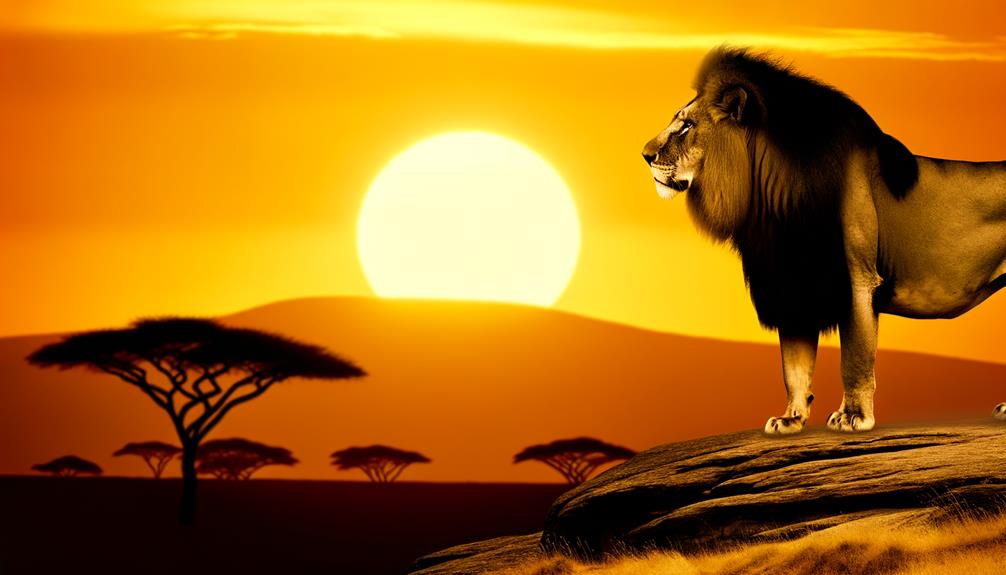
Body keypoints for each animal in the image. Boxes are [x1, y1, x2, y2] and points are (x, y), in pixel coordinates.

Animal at [642, 47, 1006, 435]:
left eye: (686, 126)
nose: (645, 154)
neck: (772, 198)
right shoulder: (790, 284)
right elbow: (794, 366)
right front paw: (791, 419)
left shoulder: (856, 279)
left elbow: (855, 358)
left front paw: (854, 416)